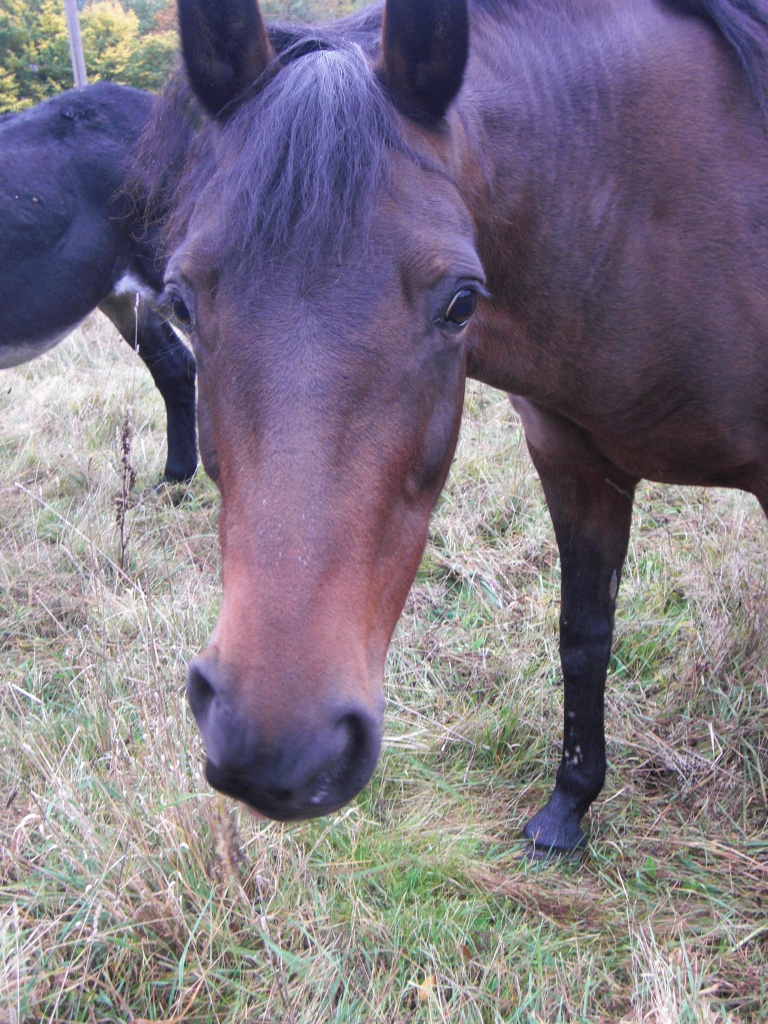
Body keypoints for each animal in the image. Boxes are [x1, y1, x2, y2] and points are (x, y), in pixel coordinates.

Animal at [141, 0, 768, 853]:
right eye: (179, 301)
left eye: (462, 302)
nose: (277, 742)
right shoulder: (574, 463)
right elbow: (584, 636)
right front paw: (568, 806)